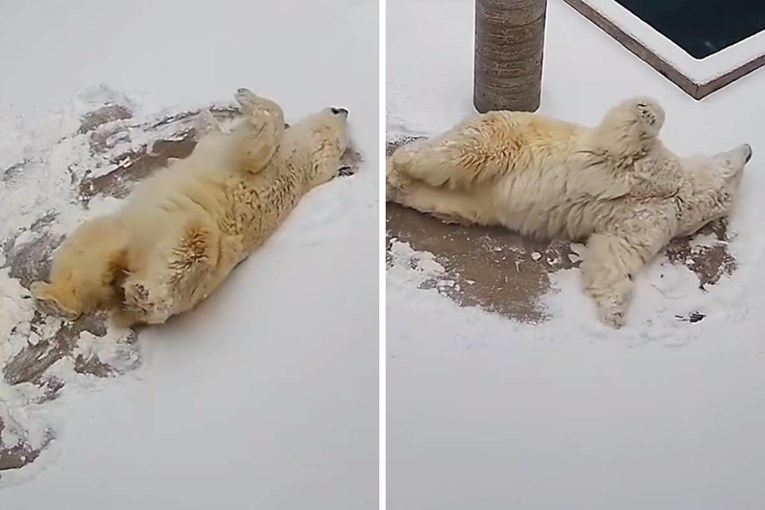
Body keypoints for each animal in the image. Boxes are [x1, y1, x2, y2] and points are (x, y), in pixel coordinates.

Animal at [31, 88, 353, 326]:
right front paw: (206, 115)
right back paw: (52, 298)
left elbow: (253, 151)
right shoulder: (225, 150)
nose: (344, 108)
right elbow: (211, 138)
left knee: (190, 251)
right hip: (122, 231)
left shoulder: (274, 164)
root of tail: (130, 266)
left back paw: (142, 296)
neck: (301, 153)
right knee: (88, 250)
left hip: (200, 247)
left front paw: (247, 97)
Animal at [386, 97, 752, 328]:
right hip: (505, 137)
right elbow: (624, 135)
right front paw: (647, 109)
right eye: (736, 162)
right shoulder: (642, 162)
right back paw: (399, 164)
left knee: (438, 196)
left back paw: (397, 185)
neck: (673, 193)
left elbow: (615, 254)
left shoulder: (647, 223)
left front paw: (615, 311)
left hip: (473, 202)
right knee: (456, 152)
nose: (749, 148)